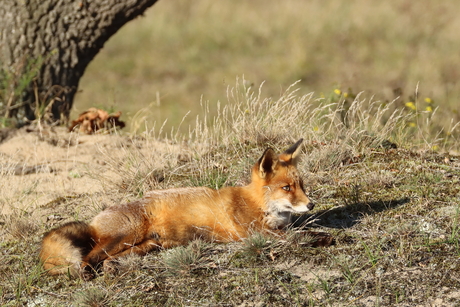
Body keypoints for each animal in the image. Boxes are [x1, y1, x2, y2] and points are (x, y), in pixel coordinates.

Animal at [40, 140, 312, 280]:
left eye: (301, 185)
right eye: (286, 188)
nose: (311, 204)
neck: (257, 203)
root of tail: (93, 222)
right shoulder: (253, 232)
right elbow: (299, 235)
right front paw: (316, 238)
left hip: (147, 244)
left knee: (106, 258)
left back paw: (111, 268)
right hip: (126, 235)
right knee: (89, 257)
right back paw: (86, 273)